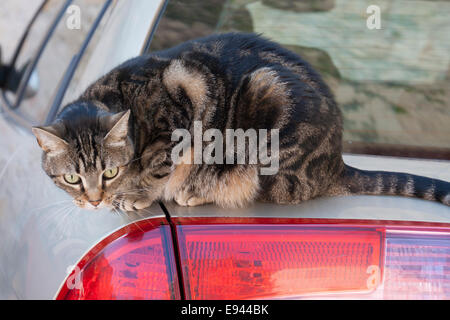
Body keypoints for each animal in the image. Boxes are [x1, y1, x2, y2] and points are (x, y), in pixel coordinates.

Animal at [32, 33, 450, 211]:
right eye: (72, 178)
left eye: (110, 172)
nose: (94, 200)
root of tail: (336, 162)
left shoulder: (180, 114)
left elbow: (157, 168)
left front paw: (137, 194)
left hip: (263, 108)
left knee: (255, 188)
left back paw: (195, 191)